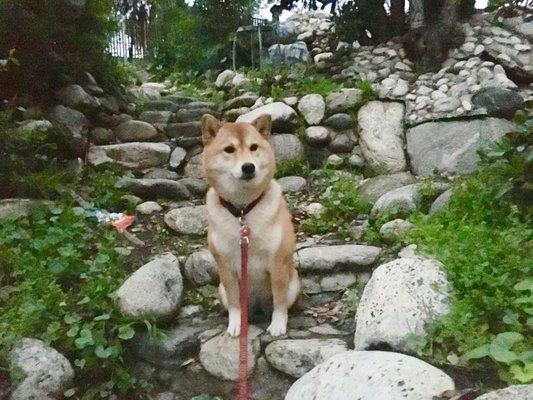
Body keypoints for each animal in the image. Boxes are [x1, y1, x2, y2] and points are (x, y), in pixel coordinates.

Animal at [202, 113, 300, 338]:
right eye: (229, 149)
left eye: (254, 147)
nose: (248, 166)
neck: (243, 211)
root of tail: (258, 306)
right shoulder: (226, 268)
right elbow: (235, 304)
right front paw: (235, 324)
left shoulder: (277, 263)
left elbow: (279, 301)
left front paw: (278, 324)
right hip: (222, 290)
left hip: (293, 283)